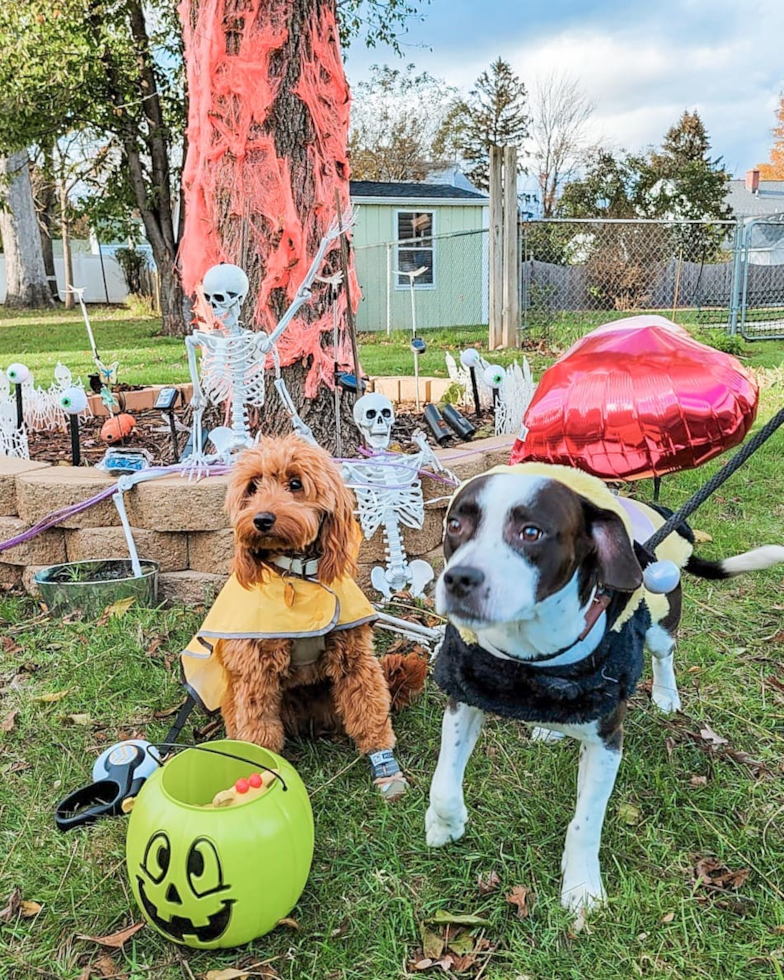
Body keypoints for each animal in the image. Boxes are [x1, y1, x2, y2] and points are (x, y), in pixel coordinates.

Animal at [217, 434, 426, 796]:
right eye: (253, 486)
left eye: (295, 484)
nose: (261, 520)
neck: (298, 576)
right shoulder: (256, 673)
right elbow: (258, 730)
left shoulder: (354, 659)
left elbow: (370, 711)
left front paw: (386, 767)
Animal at [428, 464, 784, 916]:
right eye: (455, 525)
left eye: (531, 532)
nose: (458, 578)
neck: (532, 652)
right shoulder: (466, 695)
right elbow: (443, 781)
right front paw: (444, 824)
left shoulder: (607, 741)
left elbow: (585, 822)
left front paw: (581, 886)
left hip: (660, 622)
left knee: (664, 653)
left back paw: (666, 695)